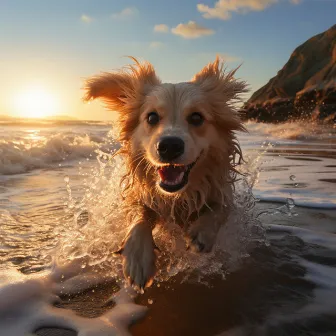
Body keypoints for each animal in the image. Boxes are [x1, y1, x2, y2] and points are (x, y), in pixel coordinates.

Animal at [84, 57, 247, 288]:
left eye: (196, 117)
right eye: (152, 117)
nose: (169, 146)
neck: (177, 197)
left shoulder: (221, 191)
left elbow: (220, 209)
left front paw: (201, 233)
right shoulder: (140, 195)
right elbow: (139, 216)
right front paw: (137, 258)